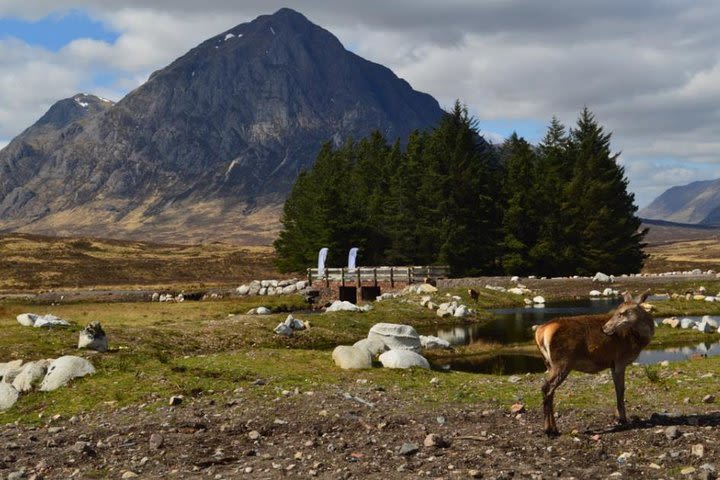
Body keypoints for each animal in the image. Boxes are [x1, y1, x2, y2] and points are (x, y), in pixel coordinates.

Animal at [536, 290, 652, 436]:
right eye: (617, 311)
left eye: (622, 312)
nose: (605, 328)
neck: (639, 341)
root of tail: (540, 333)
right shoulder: (620, 360)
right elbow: (621, 389)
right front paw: (622, 419)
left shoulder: (612, 363)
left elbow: (617, 388)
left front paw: (617, 417)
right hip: (562, 362)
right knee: (546, 388)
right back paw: (549, 429)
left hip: (549, 363)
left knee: (550, 391)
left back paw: (553, 428)